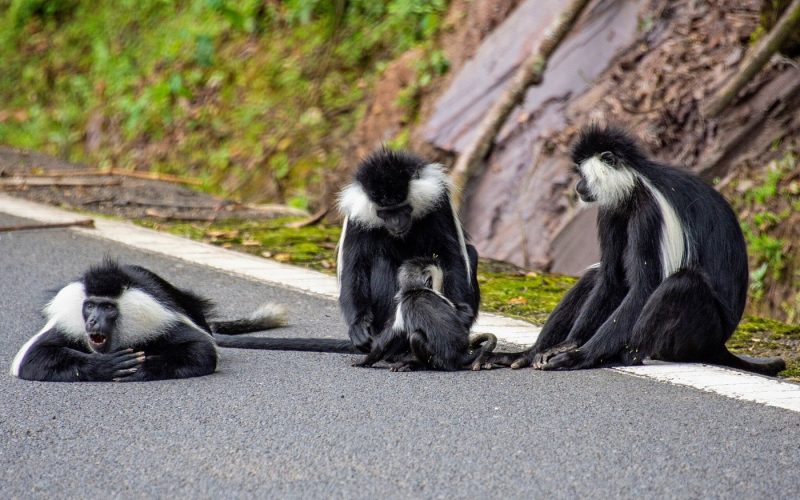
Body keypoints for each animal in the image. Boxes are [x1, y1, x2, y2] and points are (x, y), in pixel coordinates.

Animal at [10, 260, 287, 382]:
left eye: (108, 308)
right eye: (89, 306)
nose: (93, 322)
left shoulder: (159, 322)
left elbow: (200, 350)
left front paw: (143, 368)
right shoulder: (70, 325)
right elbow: (33, 358)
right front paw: (105, 367)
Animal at [353, 257, 496, 371]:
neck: (416, 290)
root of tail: (459, 355)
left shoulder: (401, 307)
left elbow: (385, 342)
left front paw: (364, 362)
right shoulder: (439, 297)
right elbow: (465, 313)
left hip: (436, 358)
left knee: (415, 337)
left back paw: (417, 364)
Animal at [500, 125, 785, 376]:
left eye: (582, 174)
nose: (578, 187)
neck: (634, 186)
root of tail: (720, 343)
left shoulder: (650, 214)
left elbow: (645, 286)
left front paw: (580, 356)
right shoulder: (610, 210)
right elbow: (611, 278)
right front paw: (567, 345)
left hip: (703, 332)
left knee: (680, 284)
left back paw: (622, 357)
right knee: (595, 276)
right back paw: (526, 355)